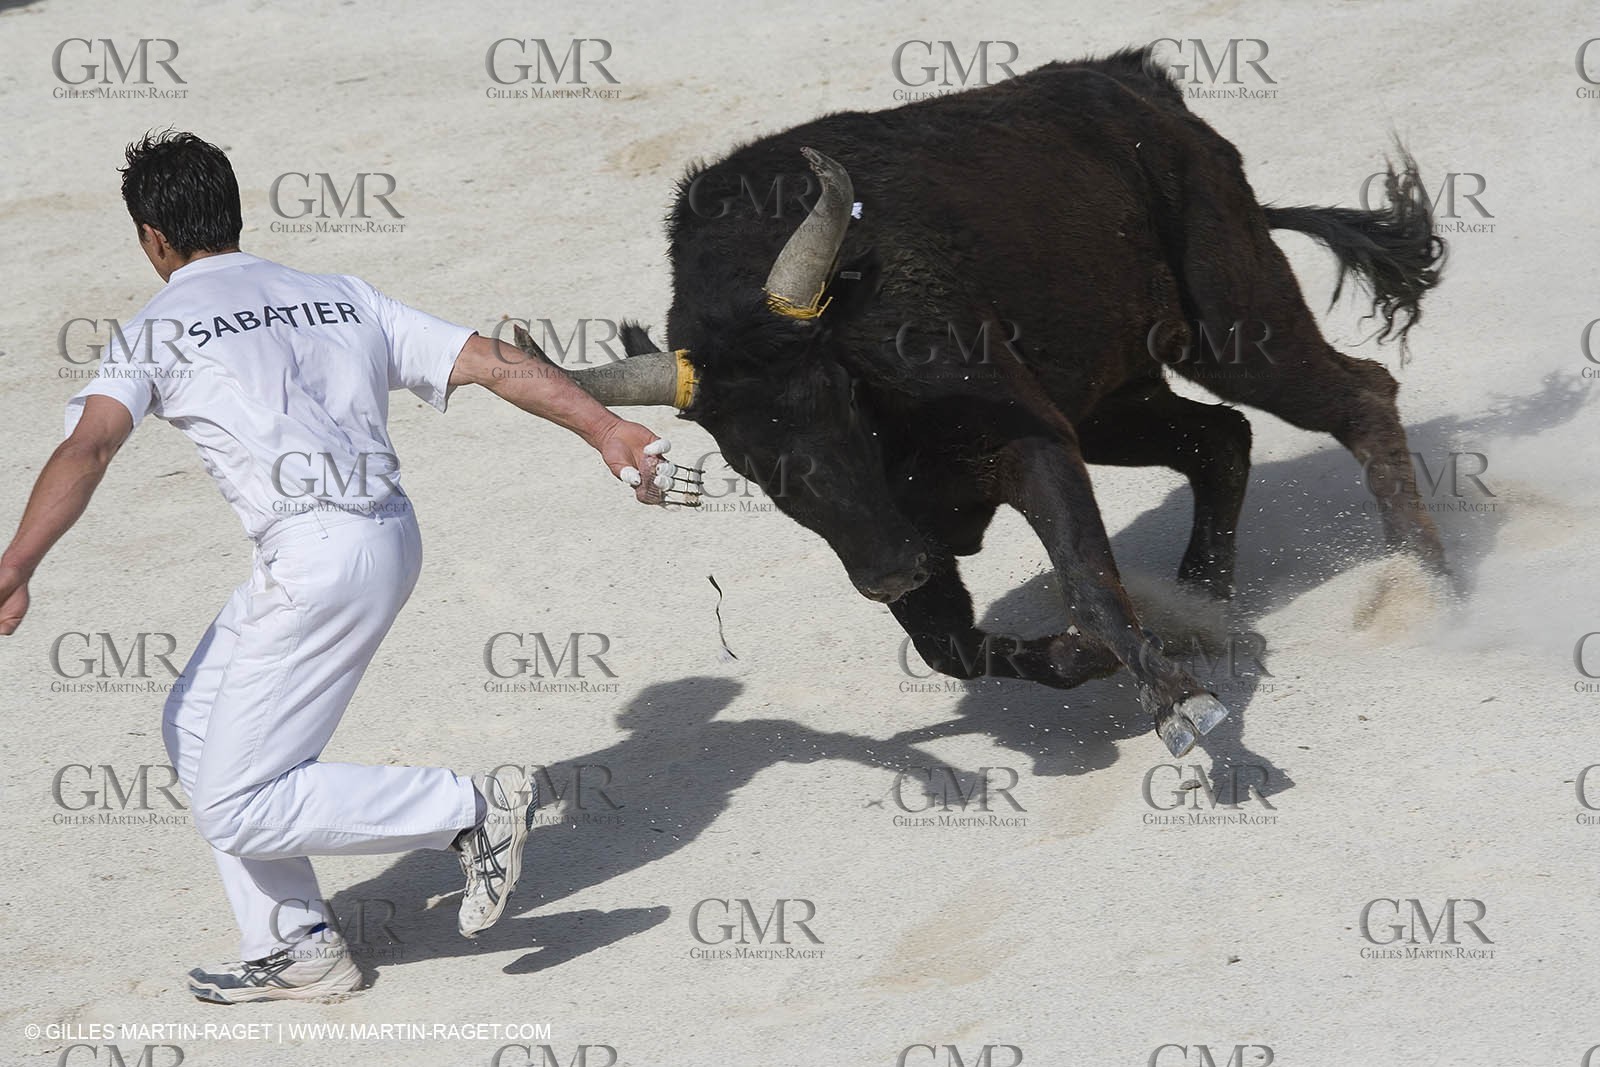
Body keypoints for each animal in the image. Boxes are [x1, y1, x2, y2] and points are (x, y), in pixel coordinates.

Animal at [517, 47, 1448, 756]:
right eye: (742, 460)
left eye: (838, 402)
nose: (889, 571)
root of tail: (1141, 84)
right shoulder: (918, 521)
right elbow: (952, 648)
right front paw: (1095, 658)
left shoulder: (1027, 448)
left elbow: (1087, 585)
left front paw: (1181, 704)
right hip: (1111, 404)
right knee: (1220, 437)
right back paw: (1206, 600)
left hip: (1234, 326)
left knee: (1358, 395)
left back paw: (1422, 576)